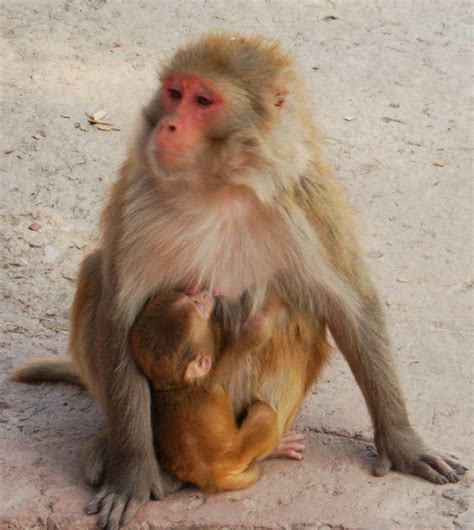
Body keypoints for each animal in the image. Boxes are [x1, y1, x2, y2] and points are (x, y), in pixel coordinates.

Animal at [131, 288, 306, 490]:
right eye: (198, 307)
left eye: (192, 297)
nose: (203, 294)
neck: (178, 384)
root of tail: (213, 478)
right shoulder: (216, 371)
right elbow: (258, 328)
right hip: (238, 454)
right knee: (264, 412)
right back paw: (276, 447)